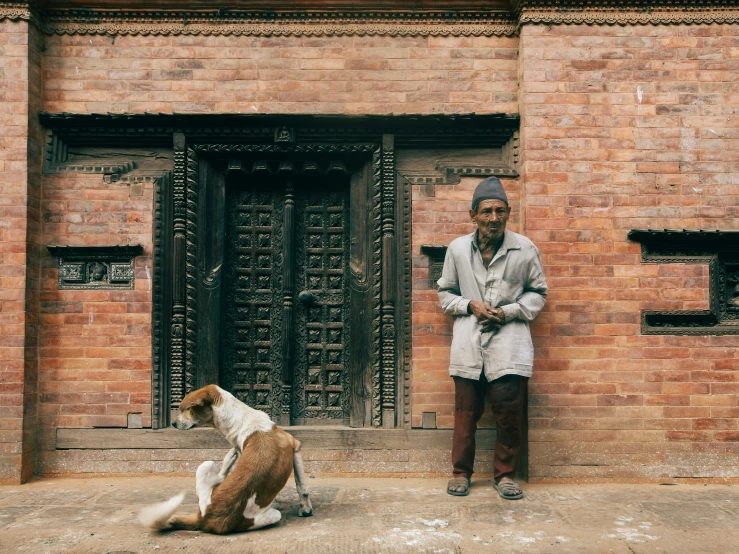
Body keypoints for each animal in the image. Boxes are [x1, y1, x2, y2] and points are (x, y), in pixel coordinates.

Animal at [139, 384, 312, 532]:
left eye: (187, 409)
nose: (174, 423)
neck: (242, 420)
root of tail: (204, 518)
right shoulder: (296, 447)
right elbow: (302, 486)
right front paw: (306, 509)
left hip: (205, 468)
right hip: (271, 514)